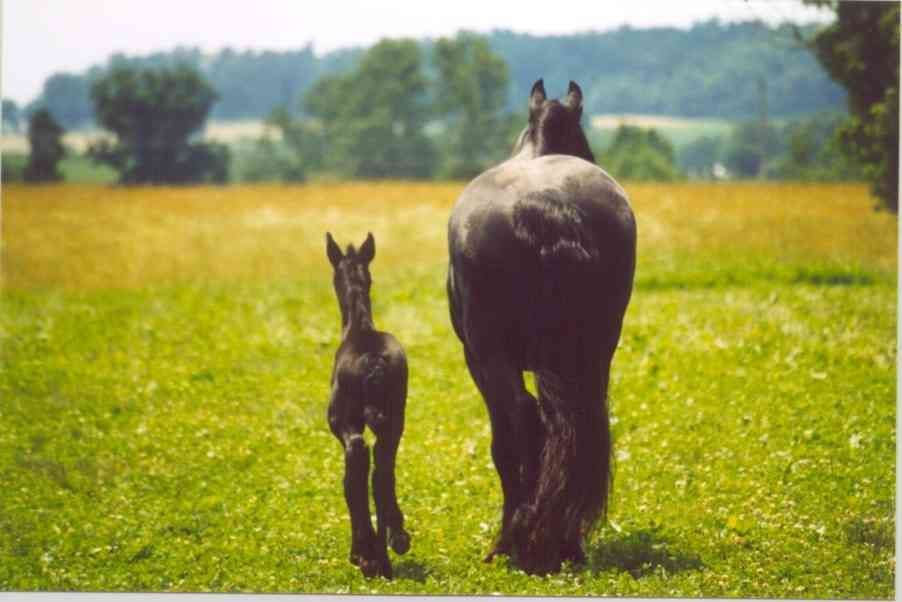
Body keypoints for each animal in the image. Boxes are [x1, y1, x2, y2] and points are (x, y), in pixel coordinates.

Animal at [446, 79, 636, 575]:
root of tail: (546, 204)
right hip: (595, 351)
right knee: (578, 428)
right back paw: (564, 543)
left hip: (489, 355)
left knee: (520, 422)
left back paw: (515, 541)